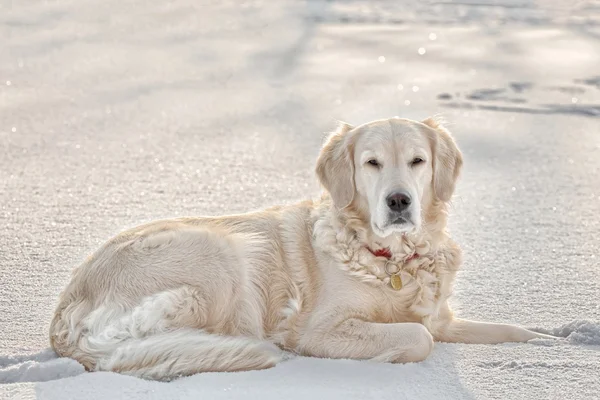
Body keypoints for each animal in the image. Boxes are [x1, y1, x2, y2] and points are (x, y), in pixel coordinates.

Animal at [48, 116, 552, 382]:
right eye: (371, 163)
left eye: (418, 161)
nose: (399, 201)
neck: (392, 260)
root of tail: (65, 313)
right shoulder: (322, 330)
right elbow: (417, 336)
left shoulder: (442, 316)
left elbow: (501, 328)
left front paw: (547, 340)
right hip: (222, 253)